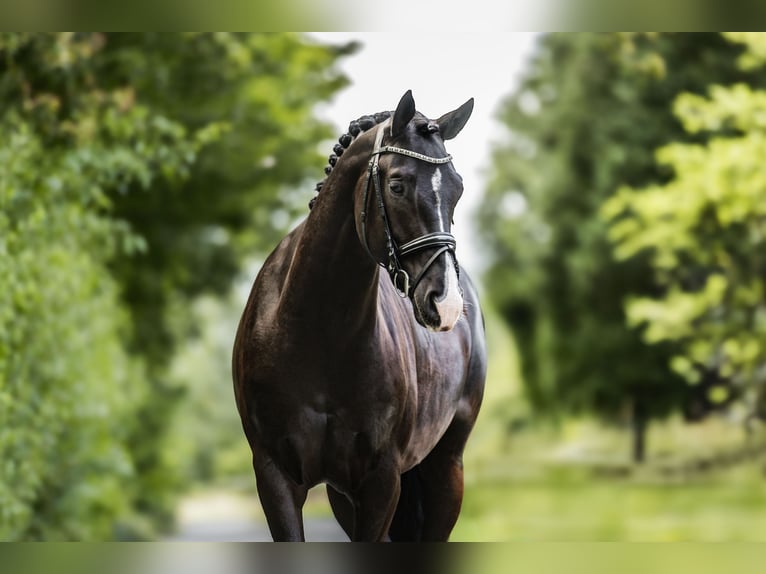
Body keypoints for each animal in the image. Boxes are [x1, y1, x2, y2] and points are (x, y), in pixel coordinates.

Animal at [231, 91, 488, 544]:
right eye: (397, 184)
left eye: (457, 189)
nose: (447, 304)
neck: (317, 332)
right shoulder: (275, 475)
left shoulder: (381, 480)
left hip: (445, 469)